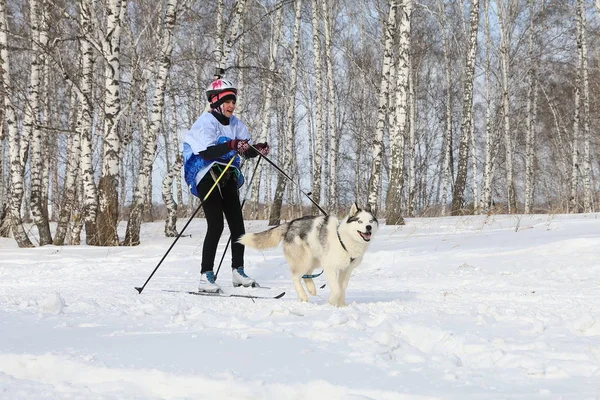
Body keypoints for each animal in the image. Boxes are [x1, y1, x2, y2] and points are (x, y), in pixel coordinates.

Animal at [238, 203, 376, 306]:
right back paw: (303, 296)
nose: (368, 227)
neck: (343, 238)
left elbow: (342, 288)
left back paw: (311, 289)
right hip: (305, 260)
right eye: (359, 221)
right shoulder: (330, 267)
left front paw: (341, 305)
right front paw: (332, 302)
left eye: (370, 221)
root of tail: (290, 223)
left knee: (306, 275)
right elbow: (337, 289)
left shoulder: (346, 270)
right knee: (296, 277)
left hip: (314, 259)